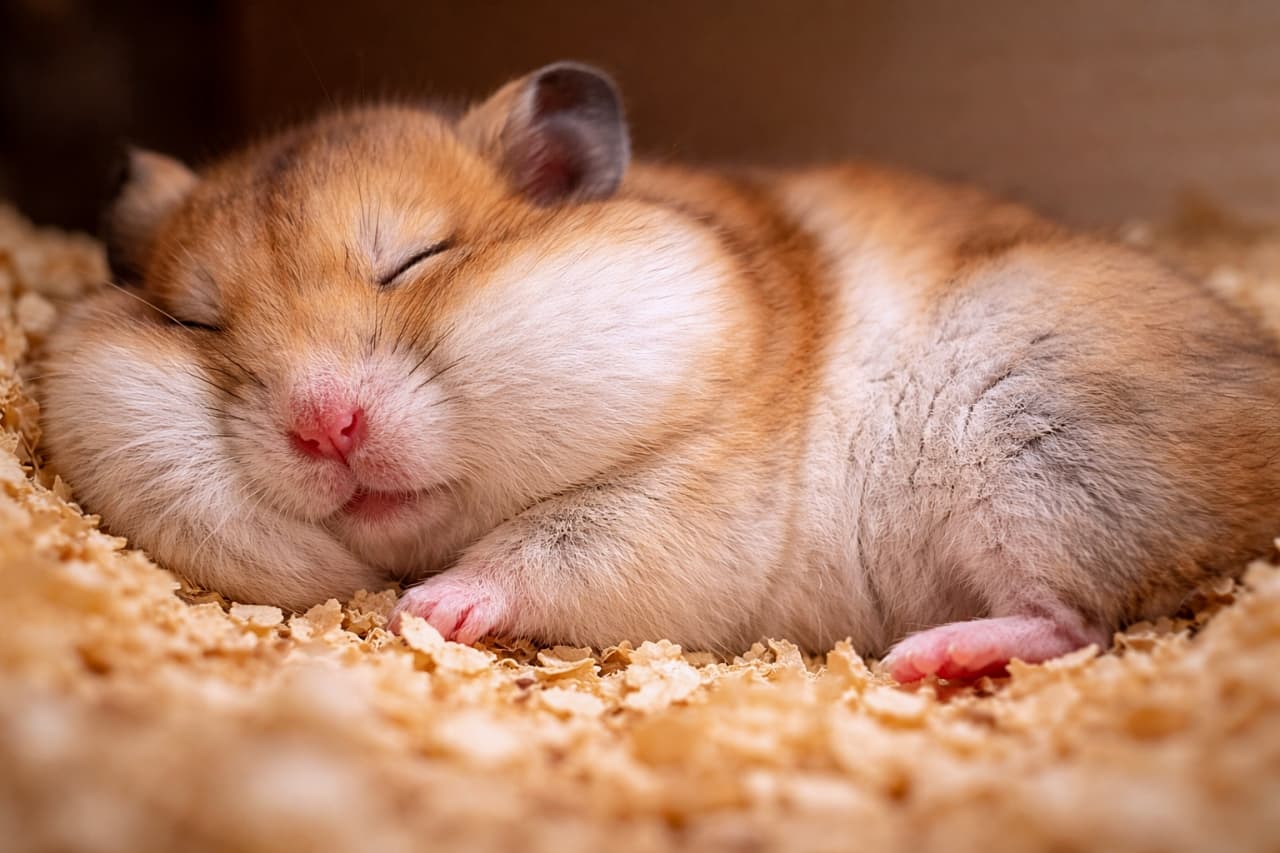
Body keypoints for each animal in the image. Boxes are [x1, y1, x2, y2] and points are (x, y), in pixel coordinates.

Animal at [39, 62, 1280, 681]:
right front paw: (389, 604)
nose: (323, 428)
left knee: (1074, 620)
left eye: (413, 260)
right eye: (196, 321)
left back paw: (927, 660)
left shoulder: (687, 496)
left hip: (1033, 441)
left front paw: (419, 611)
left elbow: (546, 549)